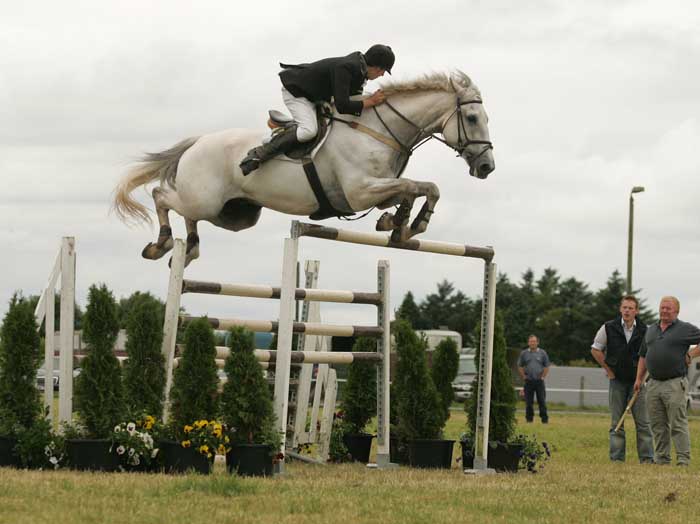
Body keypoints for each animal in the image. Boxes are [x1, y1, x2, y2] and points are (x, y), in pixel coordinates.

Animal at [113, 71, 492, 264]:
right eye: (473, 118)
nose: (487, 166)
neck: (379, 129)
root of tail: (198, 142)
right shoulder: (359, 191)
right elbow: (416, 186)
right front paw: (408, 224)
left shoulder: (374, 189)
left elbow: (420, 188)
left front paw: (397, 225)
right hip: (205, 199)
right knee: (162, 195)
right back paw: (161, 245)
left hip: (234, 214)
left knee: (189, 215)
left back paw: (189, 247)